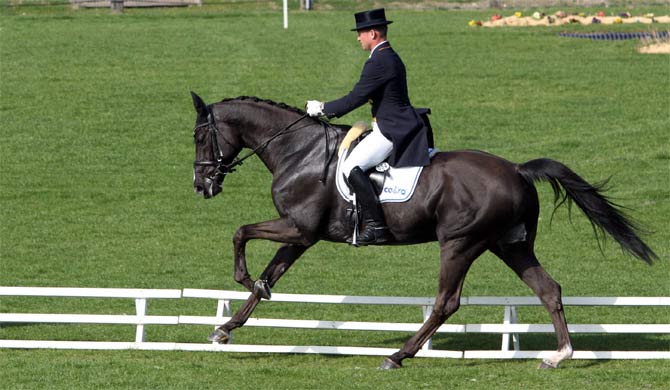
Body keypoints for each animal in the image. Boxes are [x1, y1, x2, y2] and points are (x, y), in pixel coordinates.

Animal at [188, 91, 656, 368]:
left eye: (199, 136)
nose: (201, 185)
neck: (299, 152)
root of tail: (517, 170)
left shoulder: (298, 229)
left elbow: (240, 232)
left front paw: (242, 280)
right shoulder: (301, 236)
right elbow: (270, 275)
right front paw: (226, 328)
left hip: (461, 243)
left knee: (446, 302)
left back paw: (399, 355)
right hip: (510, 245)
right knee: (548, 289)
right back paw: (560, 355)